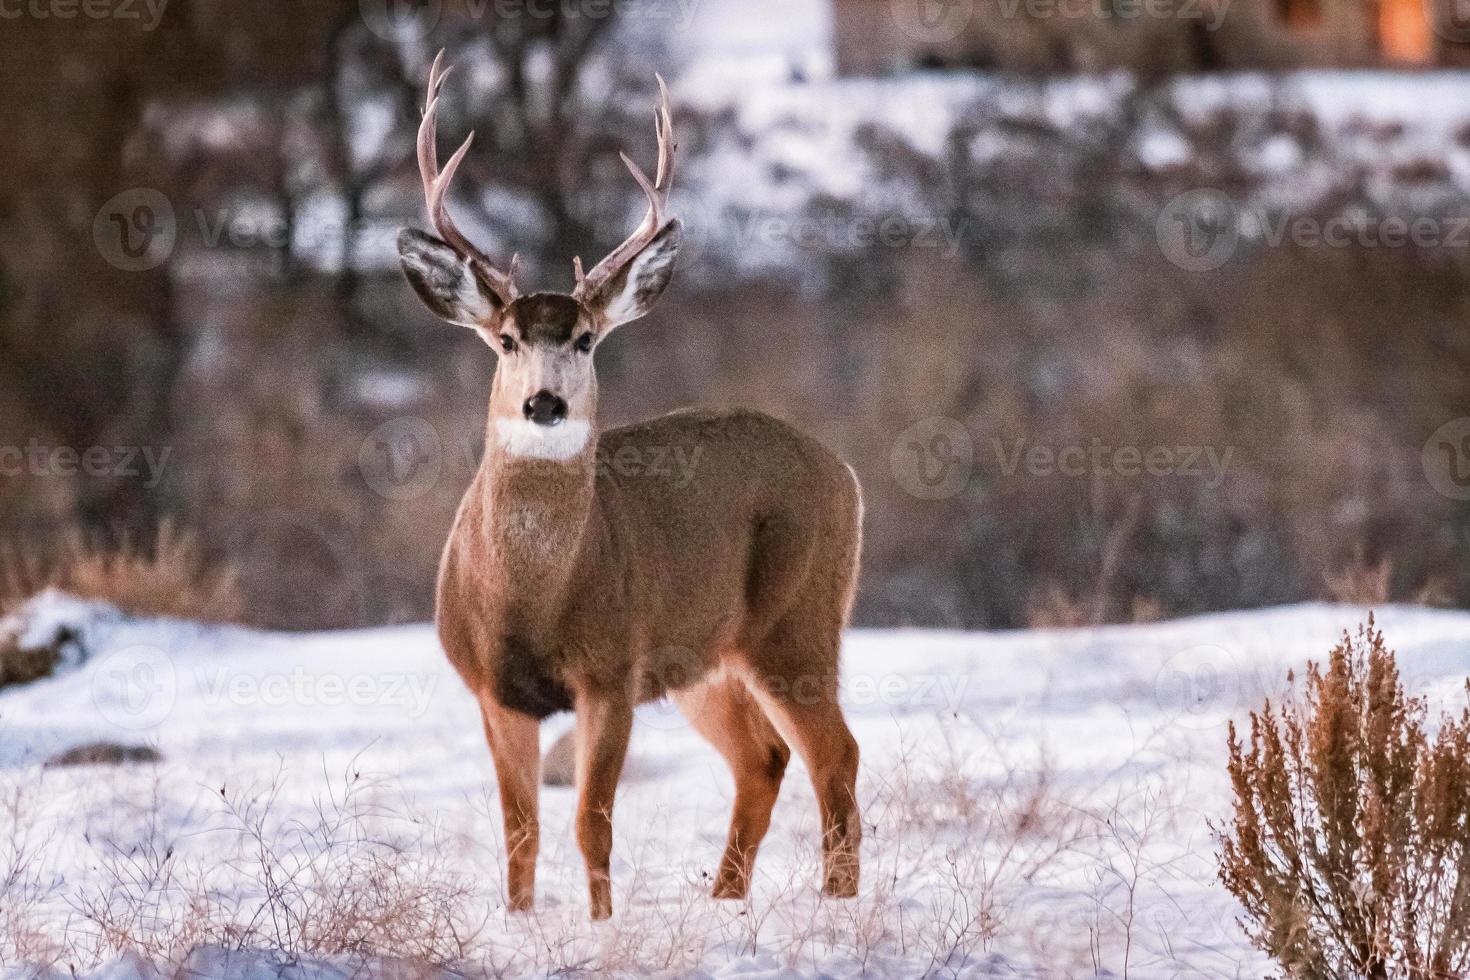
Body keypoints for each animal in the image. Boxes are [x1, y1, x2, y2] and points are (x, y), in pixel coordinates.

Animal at [396, 51, 864, 928]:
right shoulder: (493, 688)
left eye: (585, 338)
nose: (545, 403)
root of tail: (844, 469)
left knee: (834, 754)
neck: (530, 599)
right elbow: (520, 831)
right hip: (705, 658)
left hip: (796, 619)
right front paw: (519, 924)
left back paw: (836, 904)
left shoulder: (611, 669)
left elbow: (591, 822)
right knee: (764, 756)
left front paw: (601, 926)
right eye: (505, 339)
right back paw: (725, 900)